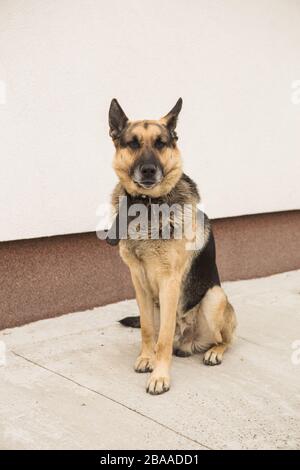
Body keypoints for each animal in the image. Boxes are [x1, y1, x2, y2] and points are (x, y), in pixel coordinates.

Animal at [108, 97, 237, 394]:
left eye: (160, 143)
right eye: (133, 143)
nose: (148, 170)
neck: (146, 206)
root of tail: (187, 341)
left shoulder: (169, 282)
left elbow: (164, 338)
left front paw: (160, 376)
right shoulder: (138, 281)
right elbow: (147, 330)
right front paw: (146, 359)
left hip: (214, 297)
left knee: (224, 339)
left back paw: (214, 352)